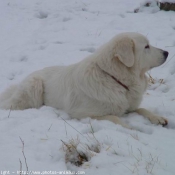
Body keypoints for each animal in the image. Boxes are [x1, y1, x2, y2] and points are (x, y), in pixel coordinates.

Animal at [0, 32, 169, 128]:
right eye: (146, 46)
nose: (167, 52)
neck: (114, 78)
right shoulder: (82, 114)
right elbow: (115, 118)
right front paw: (134, 130)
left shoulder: (129, 106)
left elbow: (142, 109)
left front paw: (158, 118)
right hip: (34, 89)